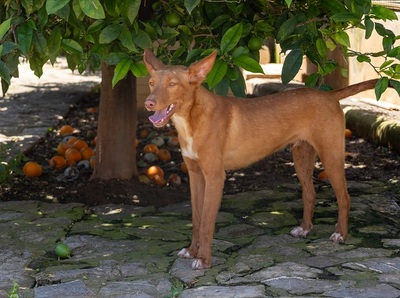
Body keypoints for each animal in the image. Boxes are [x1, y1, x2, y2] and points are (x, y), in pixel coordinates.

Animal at [143, 49, 378, 270]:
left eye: (172, 84)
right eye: (151, 83)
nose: (148, 103)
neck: (192, 119)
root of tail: (329, 96)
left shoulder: (215, 177)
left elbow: (207, 223)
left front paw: (203, 260)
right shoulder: (195, 175)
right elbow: (196, 219)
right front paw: (192, 251)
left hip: (331, 155)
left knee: (344, 198)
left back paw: (340, 234)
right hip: (301, 156)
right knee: (310, 193)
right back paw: (304, 228)